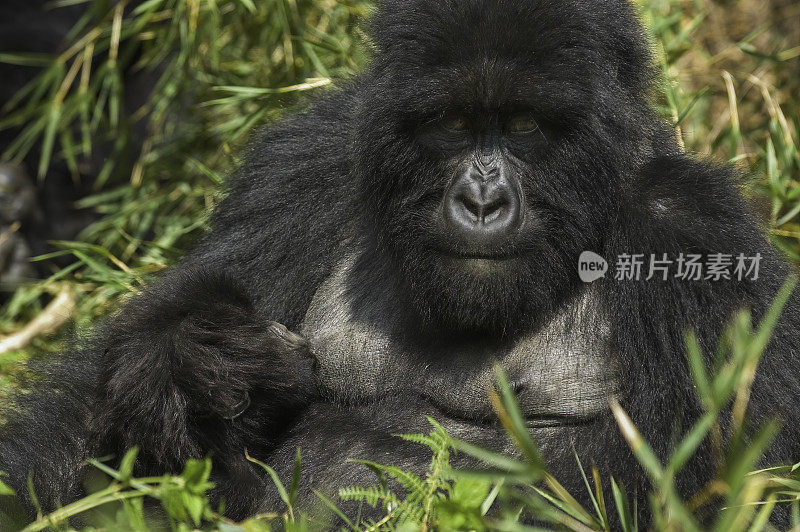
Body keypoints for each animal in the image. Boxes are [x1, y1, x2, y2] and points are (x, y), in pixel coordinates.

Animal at [1, 0, 800, 524]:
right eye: (451, 125)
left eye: (524, 126)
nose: (481, 201)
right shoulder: (305, 168)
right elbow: (94, 411)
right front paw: (191, 357)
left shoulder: (694, 239)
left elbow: (747, 481)